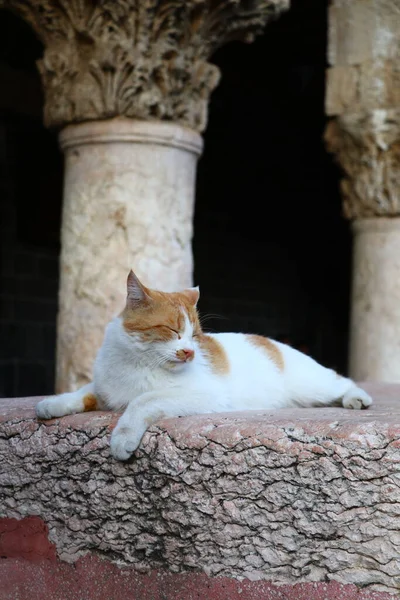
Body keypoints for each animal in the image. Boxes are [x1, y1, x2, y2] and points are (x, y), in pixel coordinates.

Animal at [36, 270, 374, 462]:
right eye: (173, 330)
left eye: (194, 335)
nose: (189, 351)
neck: (137, 361)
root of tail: (275, 343)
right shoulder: (105, 388)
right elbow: (83, 393)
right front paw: (52, 404)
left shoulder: (204, 395)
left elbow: (143, 400)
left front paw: (123, 438)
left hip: (312, 386)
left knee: (341, 381)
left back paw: (357, 398)